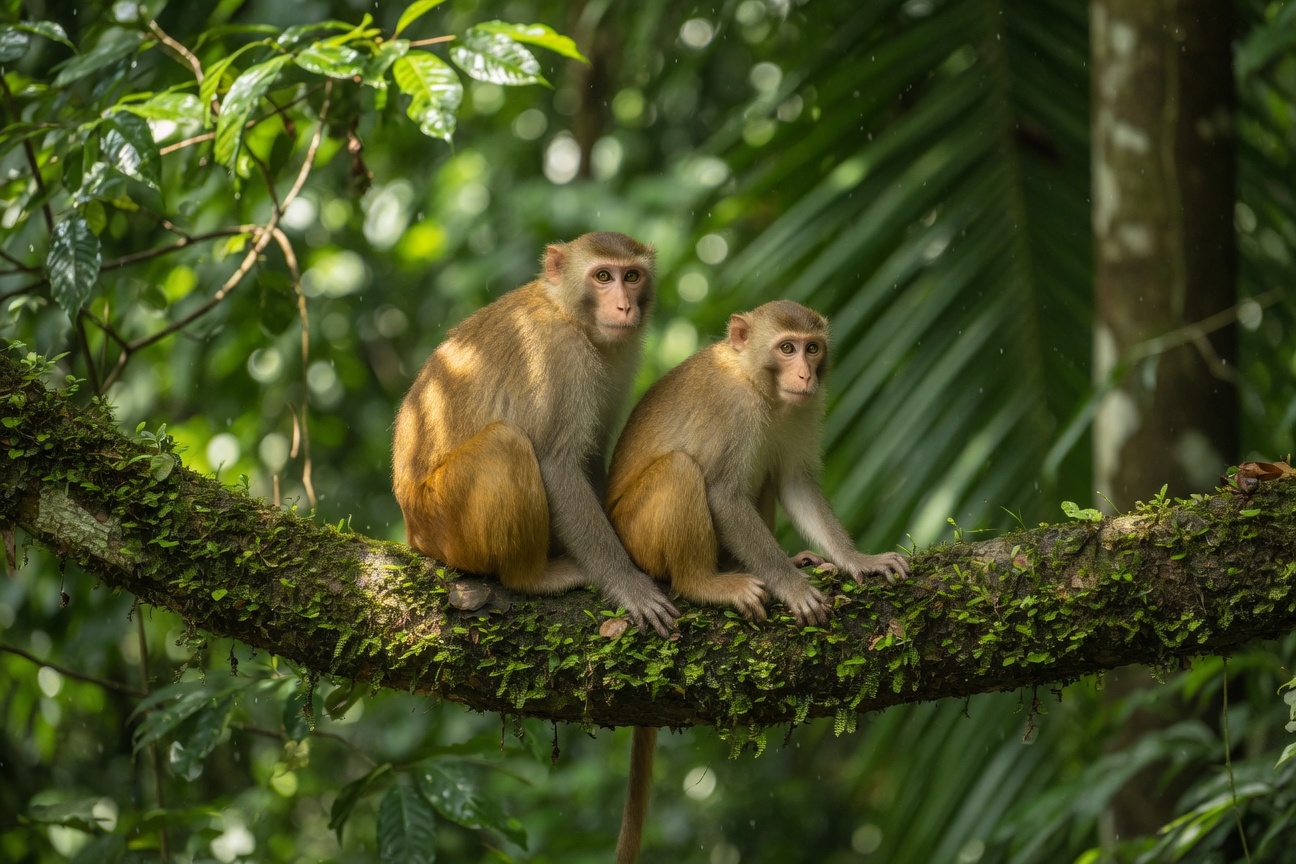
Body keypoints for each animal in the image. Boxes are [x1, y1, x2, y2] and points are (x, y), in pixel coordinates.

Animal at [391, 232, 680, 638]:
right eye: (603, 276)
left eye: (632, 276)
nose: (624, 307)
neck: (568, 314)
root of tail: (413, 532)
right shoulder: (559, 356)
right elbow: (556, 464)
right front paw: (628, 584)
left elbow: (590, 456)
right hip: (443, 520)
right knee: (506, 443)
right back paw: (531, 578)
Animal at [606, 299, 910, 863]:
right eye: (786, 348)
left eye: (812, 348)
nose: (805, 374)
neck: (757, 383)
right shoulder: (736, 412)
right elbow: (724, 494)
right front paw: (794, 590)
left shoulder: (803, 410)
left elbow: (794, 481)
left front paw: (858, 560)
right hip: (637, 539)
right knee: (682, 469)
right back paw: (706, 582)